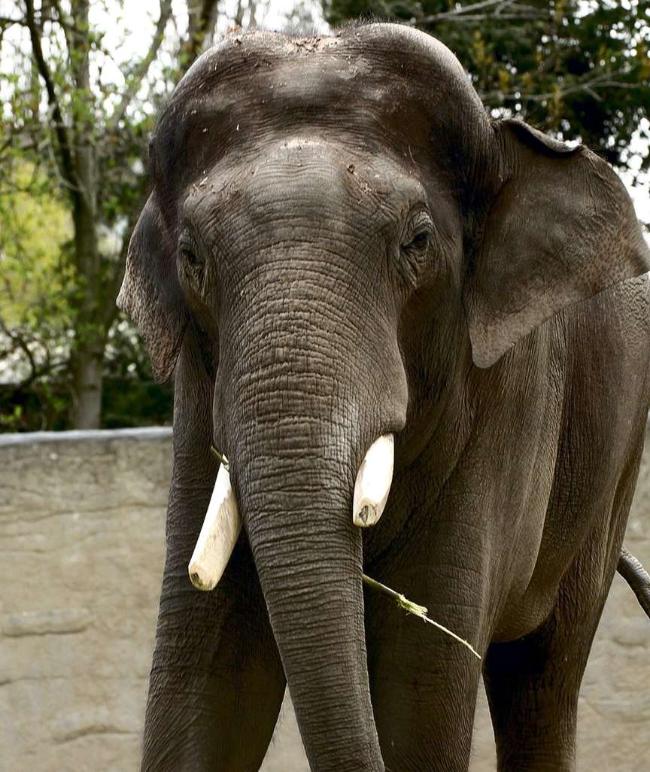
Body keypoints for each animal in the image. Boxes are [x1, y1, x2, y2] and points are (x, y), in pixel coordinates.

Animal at [117, 22, 648, 772]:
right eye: (191, 257)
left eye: (418, 241)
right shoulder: (199, 396)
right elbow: (202, 671)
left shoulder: (502, 404)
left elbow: (418, 681)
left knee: (544, 673)